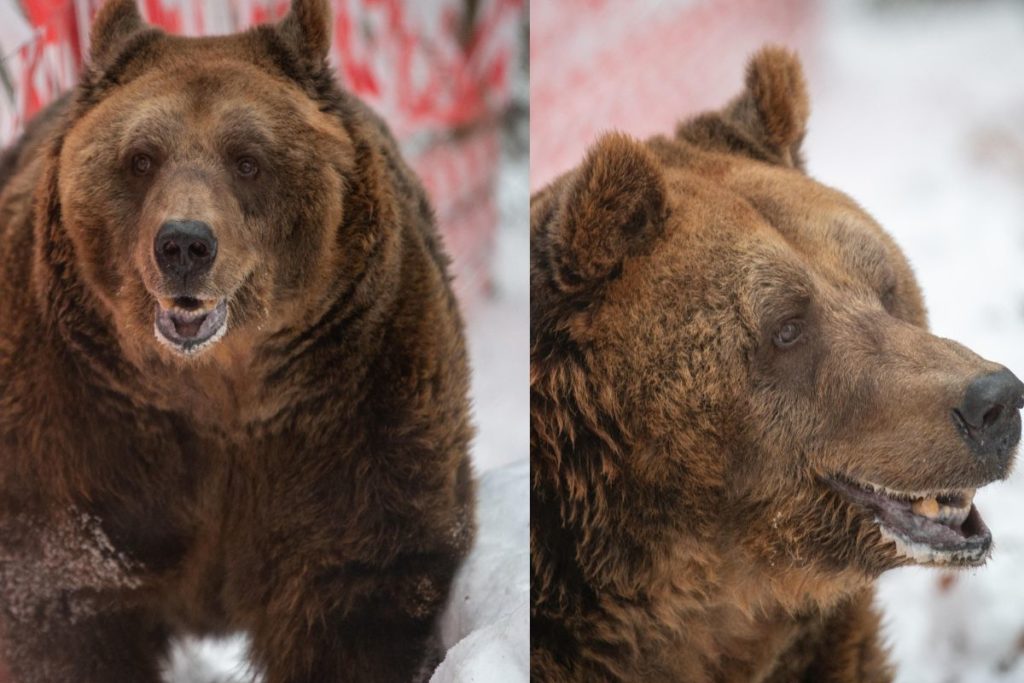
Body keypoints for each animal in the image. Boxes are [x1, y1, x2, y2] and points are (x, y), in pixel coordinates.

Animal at [0, 1, 474, 681]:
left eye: (247, 159)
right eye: (140, 158)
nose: (184, 245)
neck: (218, 392)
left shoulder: (356, 404)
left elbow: (361, 586)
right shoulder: (80, 425)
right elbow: (65, 606)